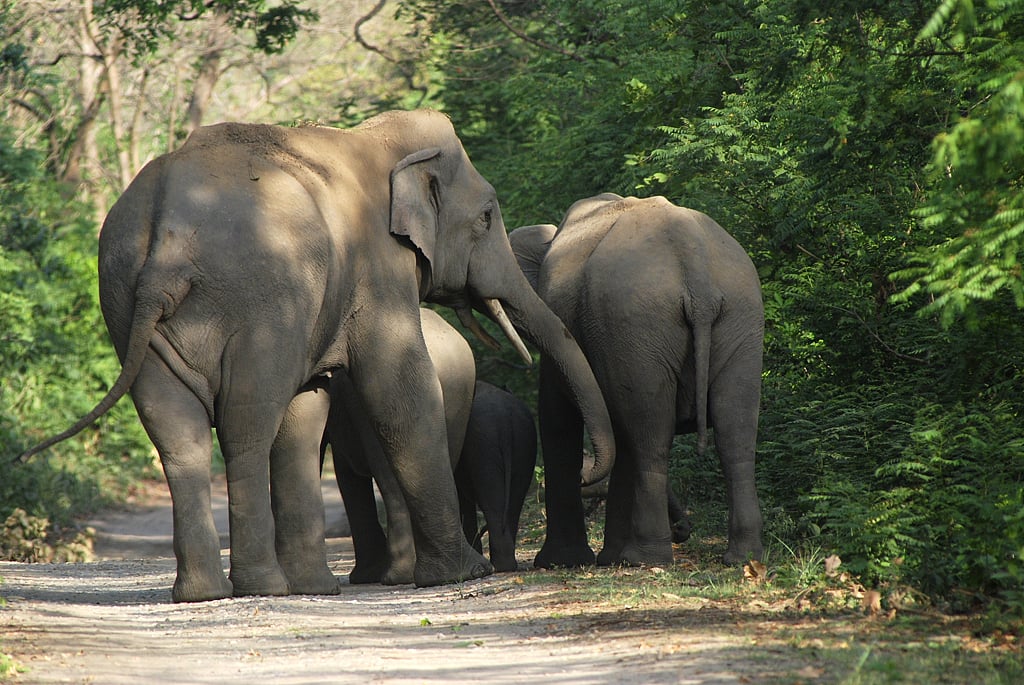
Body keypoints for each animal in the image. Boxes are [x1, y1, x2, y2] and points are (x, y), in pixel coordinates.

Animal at [455, 381, 537, 573]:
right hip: (524, 442)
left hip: (484, 445)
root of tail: (505, 419)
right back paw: (506, 565)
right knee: (514, 502)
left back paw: (499, 566)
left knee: (492, 503)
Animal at [509, 193, 764, 569]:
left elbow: (557, 418)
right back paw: (741, 558)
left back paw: (643, 559)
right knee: (734, 431)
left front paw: (561, 562)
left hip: (638, 321)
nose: (683, 531)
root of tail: (694, 266)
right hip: (732, 317)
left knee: (650, 434)